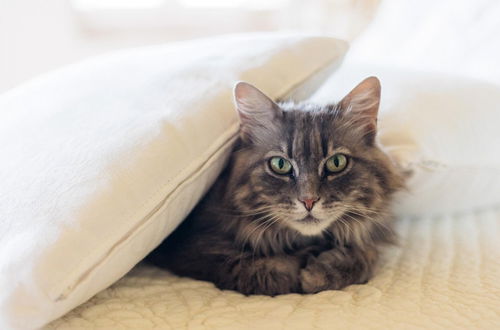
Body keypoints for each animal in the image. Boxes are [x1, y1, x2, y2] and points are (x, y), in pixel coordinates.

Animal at [146, 78, 404, 296]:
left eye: (336, 163)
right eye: (280, 164)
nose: (309, 201)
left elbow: (367, 254)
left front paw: (320, 272)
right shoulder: (193, 248)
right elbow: (257, 271)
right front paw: (298, 272)